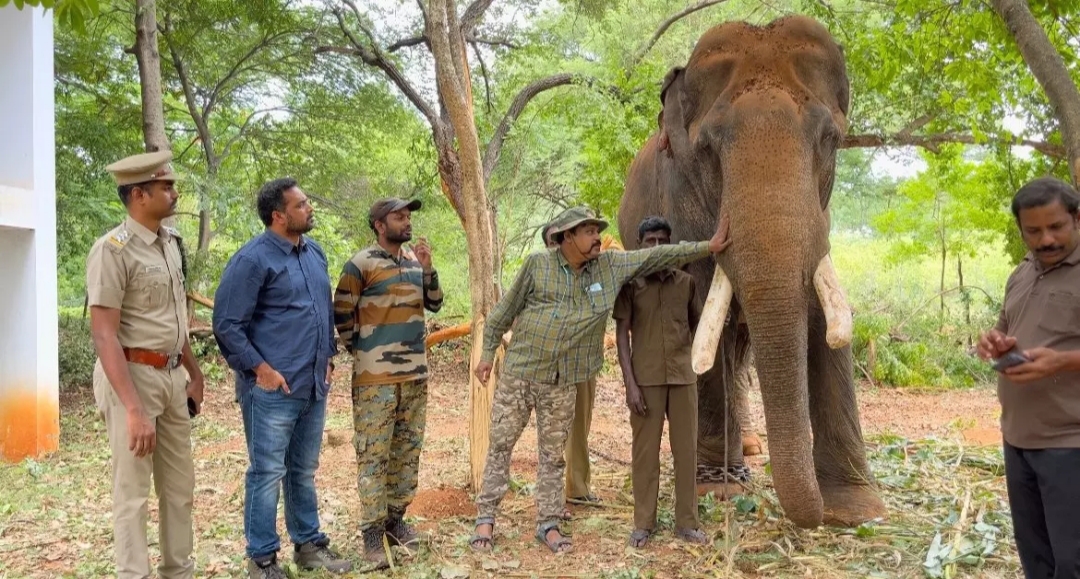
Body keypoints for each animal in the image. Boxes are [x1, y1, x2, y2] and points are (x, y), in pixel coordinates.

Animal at [617, 14, 885, 529]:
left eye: (831, 140)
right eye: (707, 149)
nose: (815, 516)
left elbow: (822, 316)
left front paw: (855, 509)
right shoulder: (682, 203)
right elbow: (700, 318)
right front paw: (718, 489)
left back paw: (749, 446)